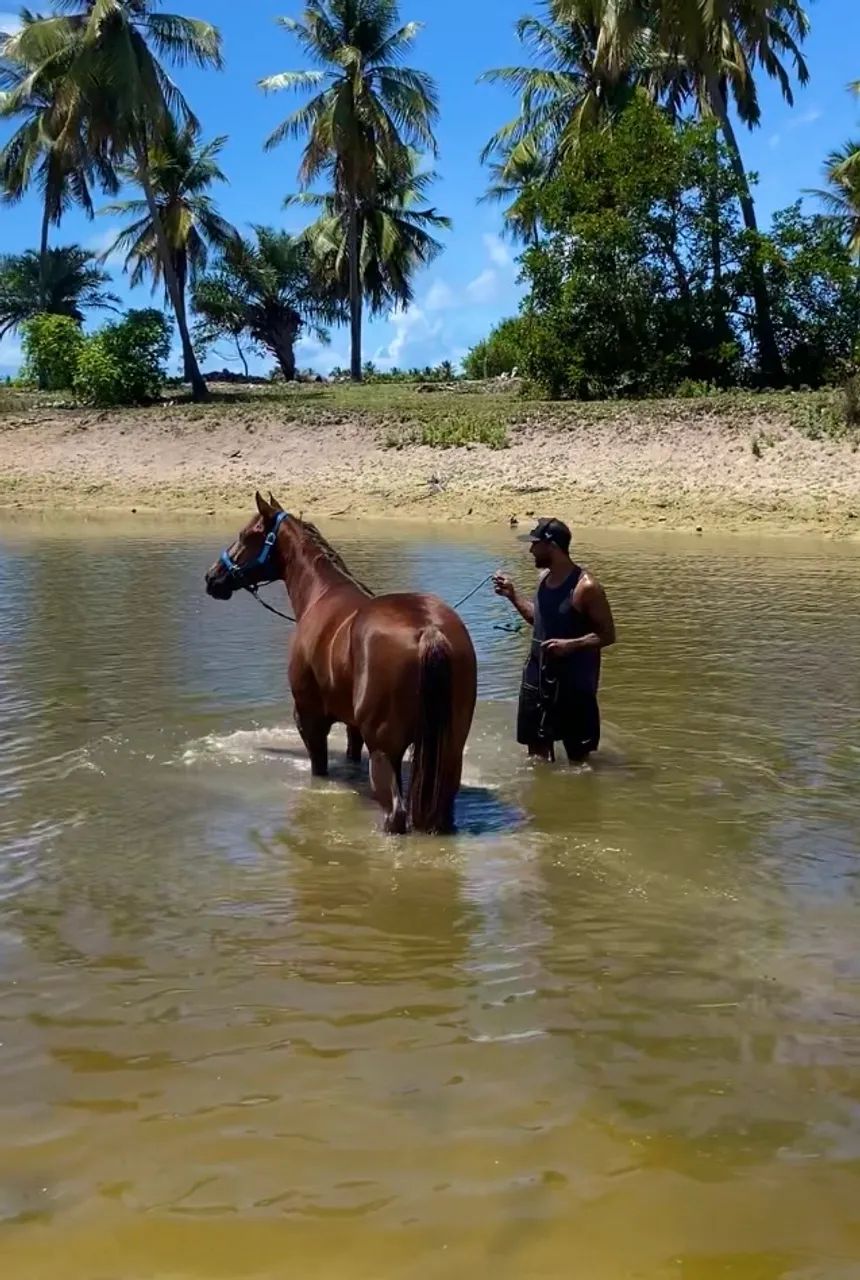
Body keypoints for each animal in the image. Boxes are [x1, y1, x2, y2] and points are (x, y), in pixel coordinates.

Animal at [204, 493, 477, 835]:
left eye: (246, 535)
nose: (212, 578)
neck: (320, 594)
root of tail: (428, 630)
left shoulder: (309, 719)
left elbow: (319, 769)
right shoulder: (352, 726)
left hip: (385, 751)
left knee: (396, 813)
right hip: (449, 750)